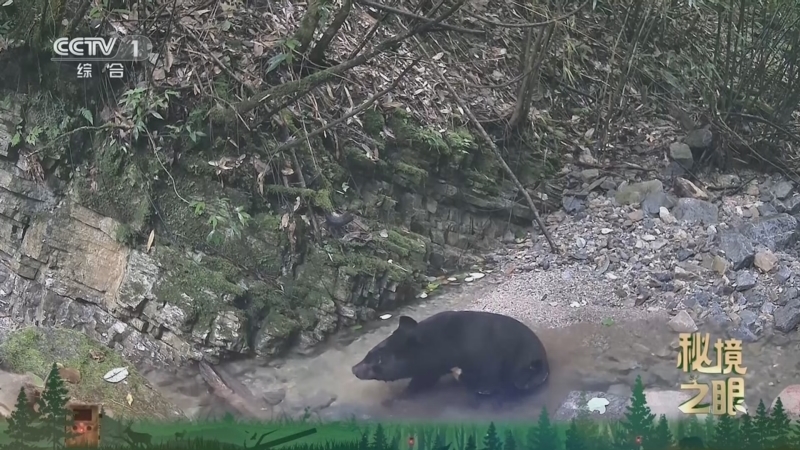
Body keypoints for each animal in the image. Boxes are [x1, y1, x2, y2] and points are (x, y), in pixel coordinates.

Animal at [351, 310, 549, 403]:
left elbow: (422, 381)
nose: (354, 368)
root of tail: (543, 358)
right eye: (369, 353)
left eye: (379, 360)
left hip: (522, 369)